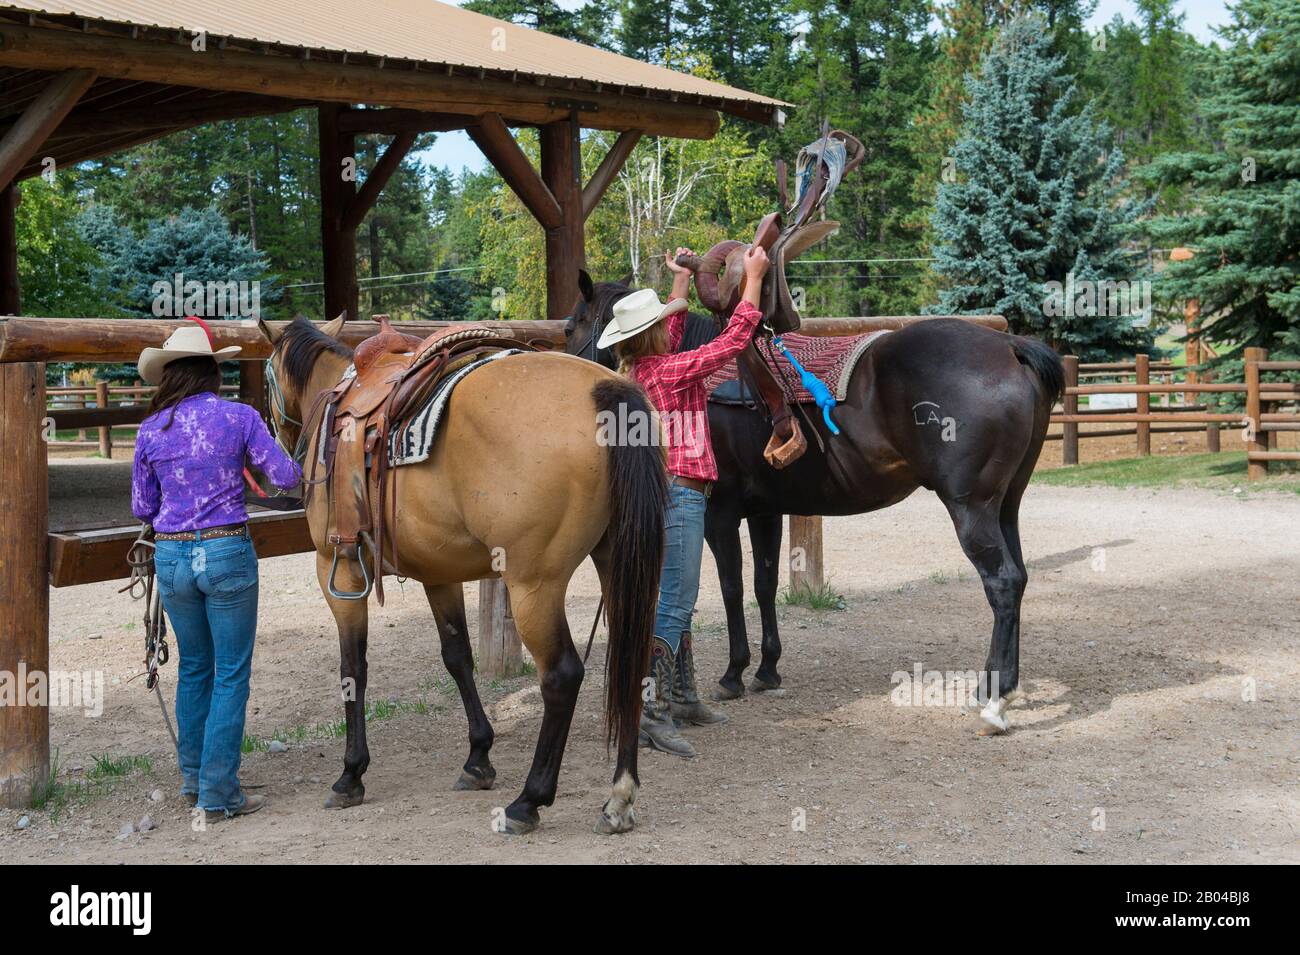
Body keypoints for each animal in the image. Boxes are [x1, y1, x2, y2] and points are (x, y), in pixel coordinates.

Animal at [258, 313, 666, 834]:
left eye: (266, 379)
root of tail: (602, 389)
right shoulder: (439, 573)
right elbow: (458, 656)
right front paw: (478, 758)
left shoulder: (339, 571)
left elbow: (354, 669)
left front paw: (351, 774)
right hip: (617, 562)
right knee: (633, 660)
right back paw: (620, 795)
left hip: (534, 585)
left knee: (562, 675)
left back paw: (528, 801)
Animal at [564, 272, 1064, 733]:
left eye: (571, 326)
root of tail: (1011, 347)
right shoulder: (764, 511)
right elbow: (763, 585)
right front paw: (766, 669)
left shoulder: (719, 514)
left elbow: (731, 588)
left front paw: (733, 674)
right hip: (1006, 507)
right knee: (1018, 578)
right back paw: (994, 686)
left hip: (971, 508)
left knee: (1001, 583)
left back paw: (994, 704)